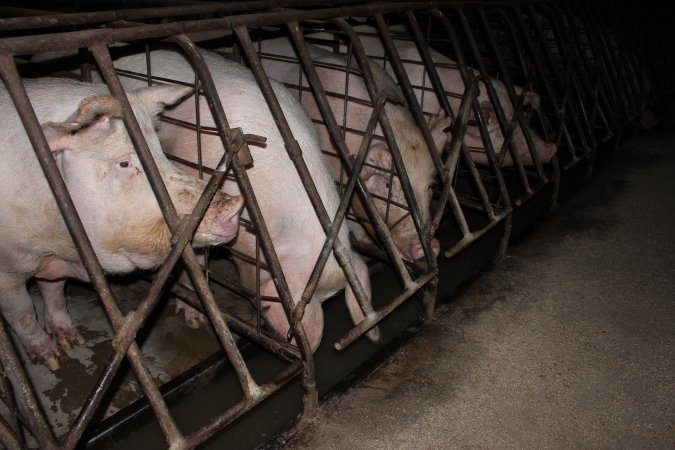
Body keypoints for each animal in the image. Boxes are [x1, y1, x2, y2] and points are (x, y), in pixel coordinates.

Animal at [0, 78, 243, 372]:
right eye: (124, 163)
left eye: (160, 152)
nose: (236, 205)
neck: (56, 245)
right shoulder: (6, 272)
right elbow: (23, 313)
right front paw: (54, 361)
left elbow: (55, 291)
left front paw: (72, 341)